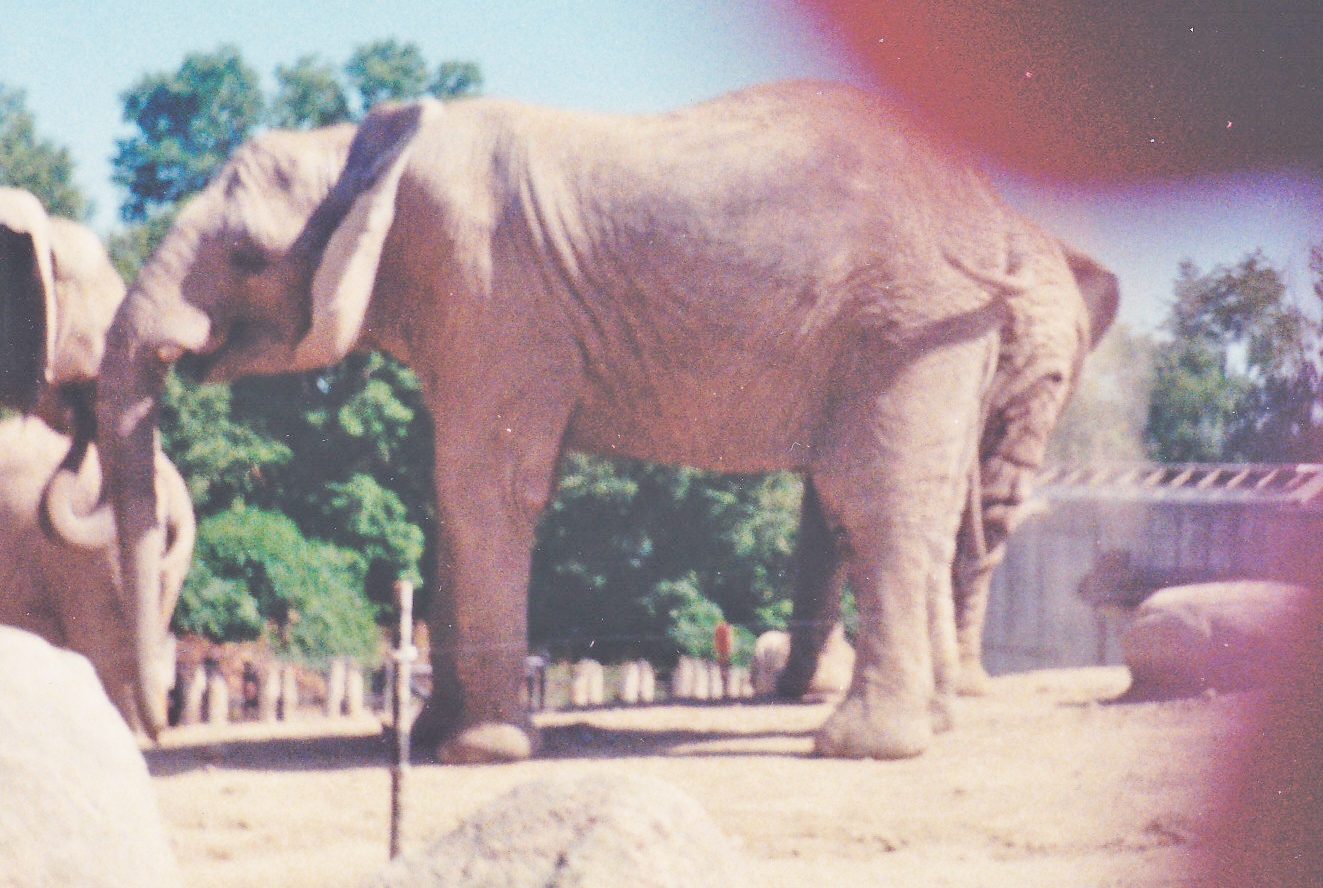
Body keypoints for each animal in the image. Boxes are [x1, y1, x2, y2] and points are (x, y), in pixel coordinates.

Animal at [87, 80, 1117, 760]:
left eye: (248, 258)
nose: (153, 729)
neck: (361, 147)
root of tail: (990, 212)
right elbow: (454, 494)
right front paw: (437, 736)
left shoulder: (492, 293)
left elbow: (484, 487)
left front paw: (480, 755)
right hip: (943, 331)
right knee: (926, 505)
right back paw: (928, 726)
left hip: (905, 321)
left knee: (876, 501)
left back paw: (861, 747)